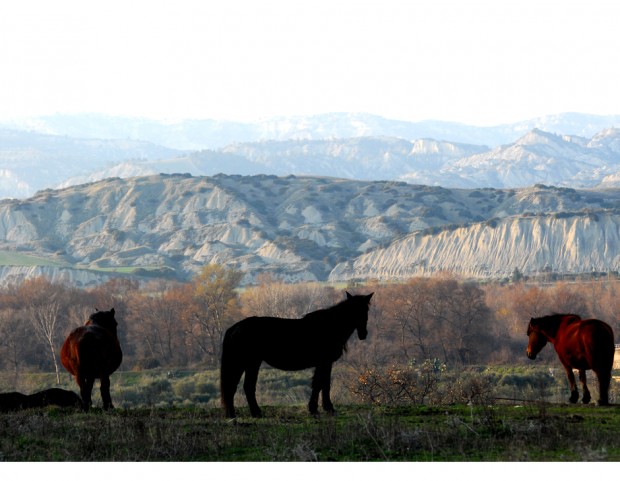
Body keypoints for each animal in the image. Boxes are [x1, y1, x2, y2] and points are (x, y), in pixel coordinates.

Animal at [220, 290, 372, 418]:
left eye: (366, 310)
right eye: (355, 310)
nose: (363, 334)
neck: (330, 326)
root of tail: (236, 327)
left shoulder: (325, 364)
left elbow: (322, 384)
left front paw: (321, 408)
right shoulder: (324, 362)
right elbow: (320, 384)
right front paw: (320, 409)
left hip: (249, 363)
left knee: (242, 387)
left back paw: (245, 413)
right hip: (247, 363)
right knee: (238, 387)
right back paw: (243, 413)